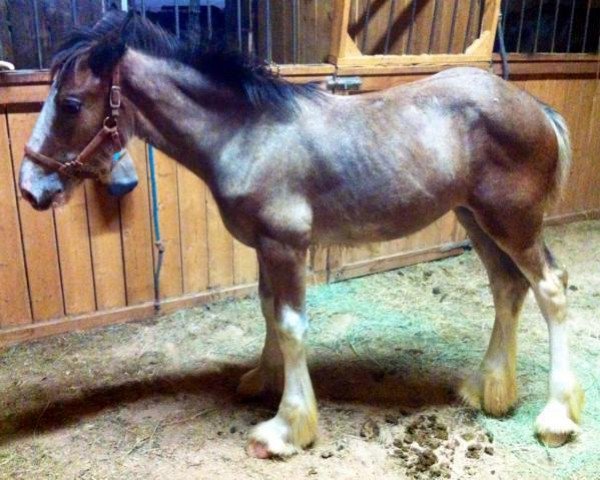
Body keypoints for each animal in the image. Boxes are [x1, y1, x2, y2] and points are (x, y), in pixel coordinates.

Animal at [17, 12, 580, 458]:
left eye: (70, 103)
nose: (30, 187)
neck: (248, 134)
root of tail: (536, 108)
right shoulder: (265, 247)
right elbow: (268, 309)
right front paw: (263, 380)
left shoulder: (286, 245)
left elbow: (290, 325)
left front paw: (286, 429)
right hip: (476, 221)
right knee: (507, 287)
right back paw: (488, 390)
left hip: (513, 223)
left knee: (550, 288)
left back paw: (556, 417)